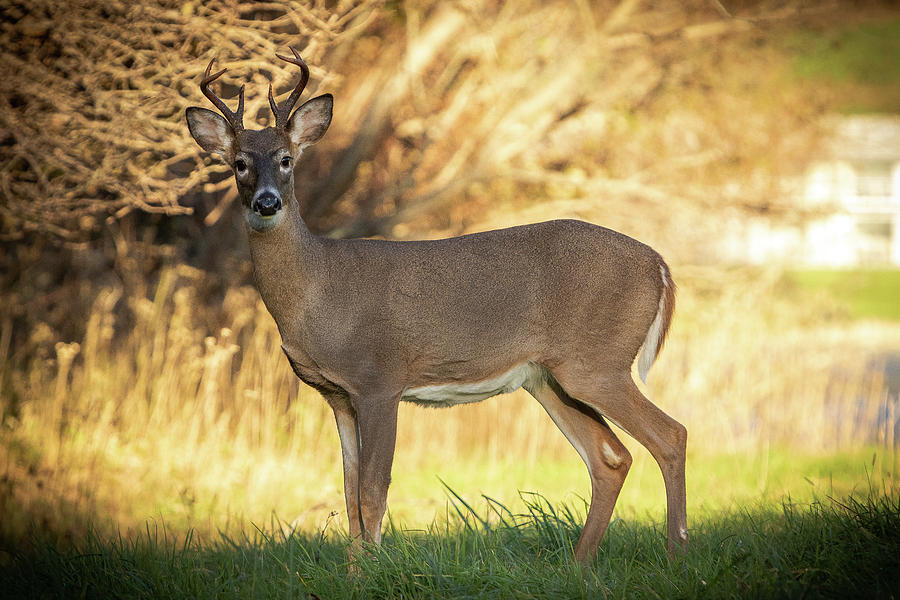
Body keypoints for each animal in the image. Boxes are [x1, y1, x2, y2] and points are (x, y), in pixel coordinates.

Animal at [185, 49, 687, 565]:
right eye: (240, 163)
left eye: (286, 160)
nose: (267, 203)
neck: (317, 290)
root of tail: (660, 264)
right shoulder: (336, 394)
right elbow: (348, 492)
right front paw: (353, 571)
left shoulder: (380, 379)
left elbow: (373, 492)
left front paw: (373, 570)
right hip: (549, 379)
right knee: (612, 457)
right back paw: (578, 566)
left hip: (597, 362)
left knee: (671, 436)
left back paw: (674, 556)